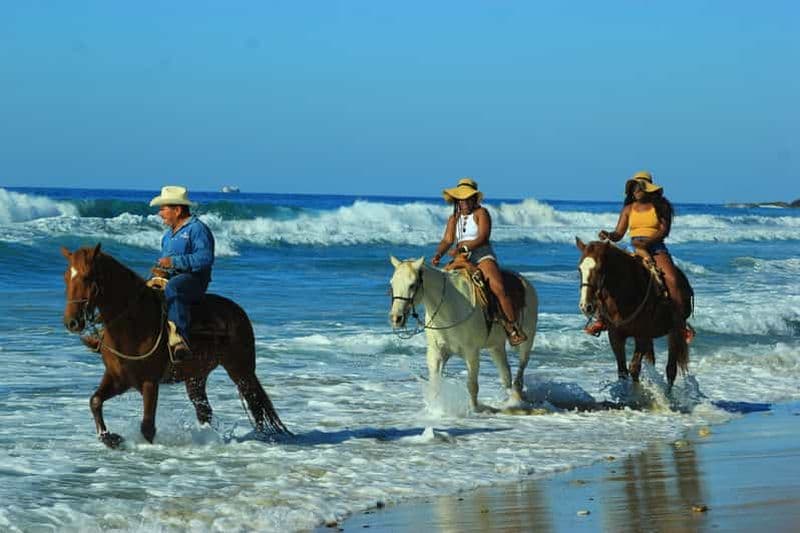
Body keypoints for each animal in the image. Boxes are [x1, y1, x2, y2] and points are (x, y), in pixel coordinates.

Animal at [61, 244, 290, 448]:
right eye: (65, 277)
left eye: (87, 277)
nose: (72, 322)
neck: (133, 323)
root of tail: (238, 311)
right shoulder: (118, 378)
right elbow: (95, 401)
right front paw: (110, 438)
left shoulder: (150, 382)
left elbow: (147, 427)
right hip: (196, 377)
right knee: (205, 411)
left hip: (240, 370)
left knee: (255, 403)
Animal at [388, 256, 538, 411]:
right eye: (392, 284)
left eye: (412, 285)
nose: (396, 318)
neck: (449, 307)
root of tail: (524, 282)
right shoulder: (436, 352)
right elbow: (435, 382)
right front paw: (436, 409)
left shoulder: (471, 353)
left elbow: (472, 385)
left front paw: (474, 409)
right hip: (495, 346)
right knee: (505, 374)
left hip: (527, 340)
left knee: (521, 367)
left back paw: (517, 397)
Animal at [575, 238, 692, 389]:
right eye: (579, 269)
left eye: (600, 269)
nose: (586, 306)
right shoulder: (615, 335)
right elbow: (622, 370)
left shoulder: (641, 335)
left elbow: (634, 368)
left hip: (675, 330)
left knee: (671, 370)